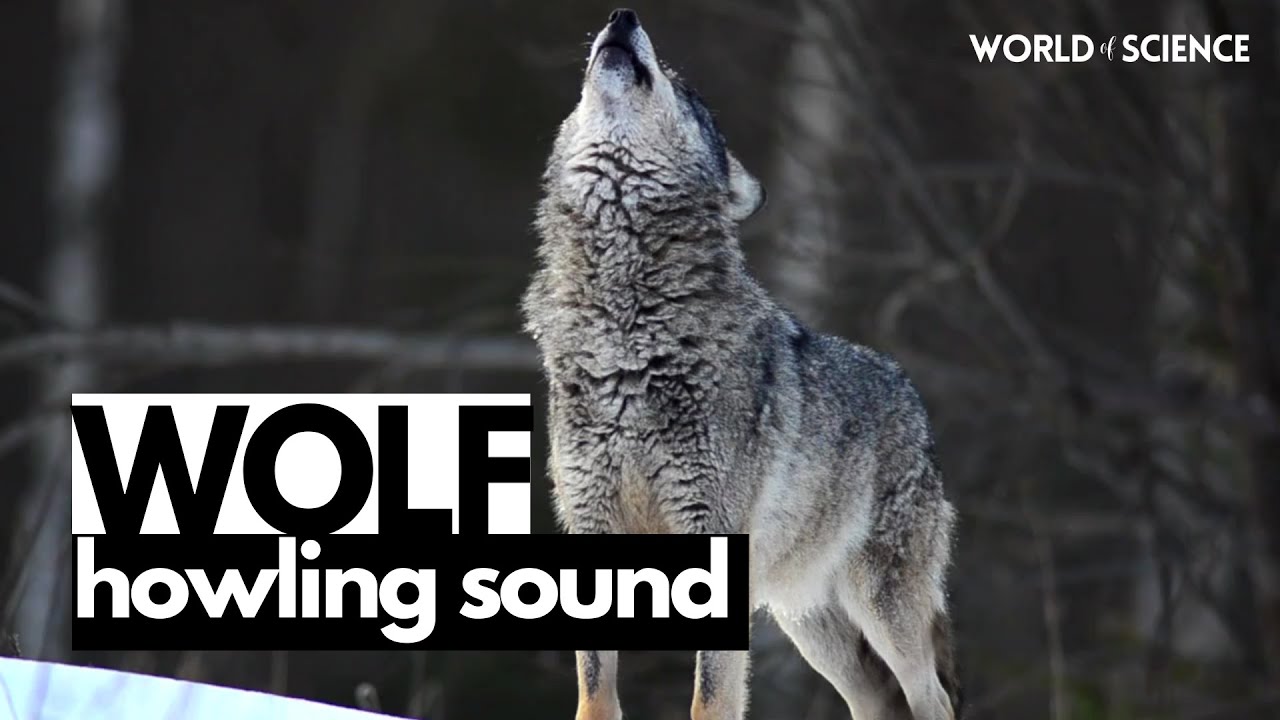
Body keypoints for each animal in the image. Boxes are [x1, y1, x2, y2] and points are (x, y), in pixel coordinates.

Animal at [521, 9, 960, 720]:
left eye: (684, 87)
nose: (622, 16)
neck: (627, 333)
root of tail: (910, 396)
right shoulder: (592, 526)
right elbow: (595, 686)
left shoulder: (714, 542)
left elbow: (711, 694)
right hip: (811, 624)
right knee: (876, 701)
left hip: (881, 607)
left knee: (932, 699)